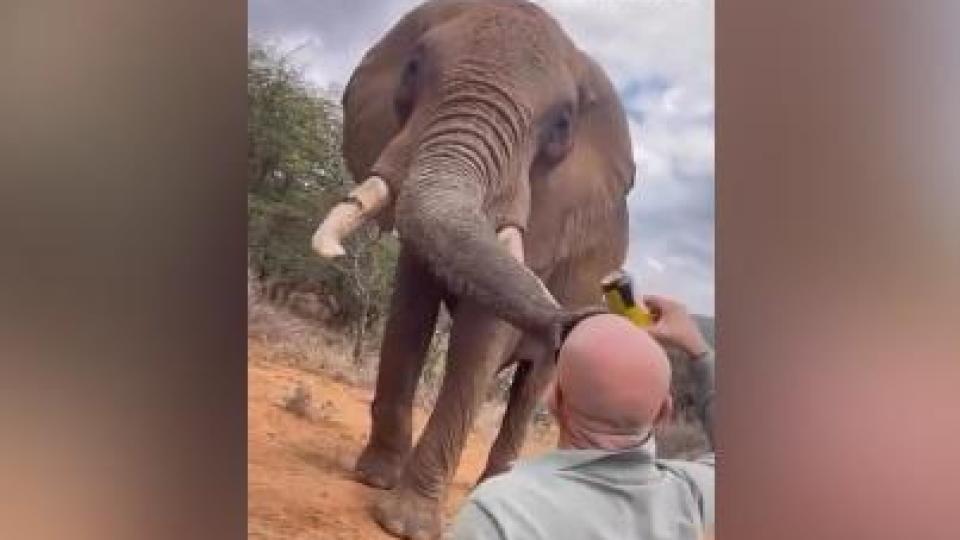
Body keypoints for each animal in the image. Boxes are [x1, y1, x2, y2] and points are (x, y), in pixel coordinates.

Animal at [312, 1, 635, 537]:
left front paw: (405, 524)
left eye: (562, 124)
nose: (586, 315)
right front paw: (374, 479)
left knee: (532, 387)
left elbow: (483, 336)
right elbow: (409, 313)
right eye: (413, 68)